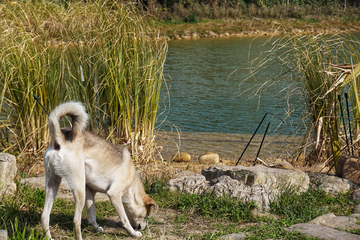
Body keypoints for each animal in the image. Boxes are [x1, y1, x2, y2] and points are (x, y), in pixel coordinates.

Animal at [40, 101, 158, 238]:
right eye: (146, 215)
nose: (143, 228)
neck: (132, 184)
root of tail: (60, 139)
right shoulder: (114, 195)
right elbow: (124, 219)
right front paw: (133, 233)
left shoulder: (90, 192)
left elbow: (92, 215)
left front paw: (96, 229)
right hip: (79, 190)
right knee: (76, 221)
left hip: (53, 184)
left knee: (45, 216)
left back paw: (49, 237)